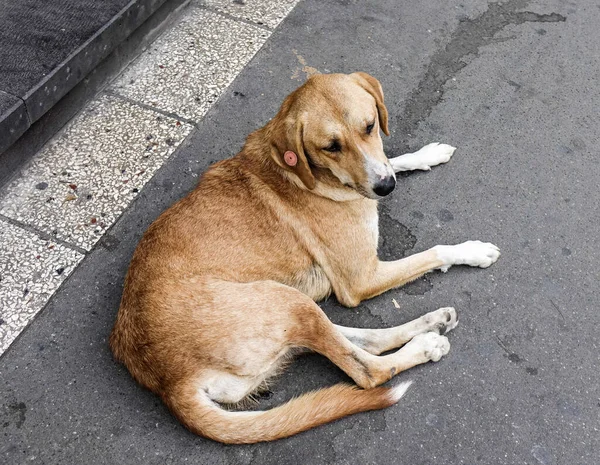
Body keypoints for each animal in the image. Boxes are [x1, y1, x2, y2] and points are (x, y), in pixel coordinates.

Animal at [109, 71, 502, 442]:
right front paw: (471, 250)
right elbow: (434, 251)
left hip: (292, 308)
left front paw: (425, 154)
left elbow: (392, 159)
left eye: (370, 126)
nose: (385, 188)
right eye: (331, 146)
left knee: (361, 341)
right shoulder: (361, 280)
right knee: (367, 371)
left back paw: (432, 324)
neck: (306, 174)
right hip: (286, 301)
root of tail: (166, 383)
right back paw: (426, 346)